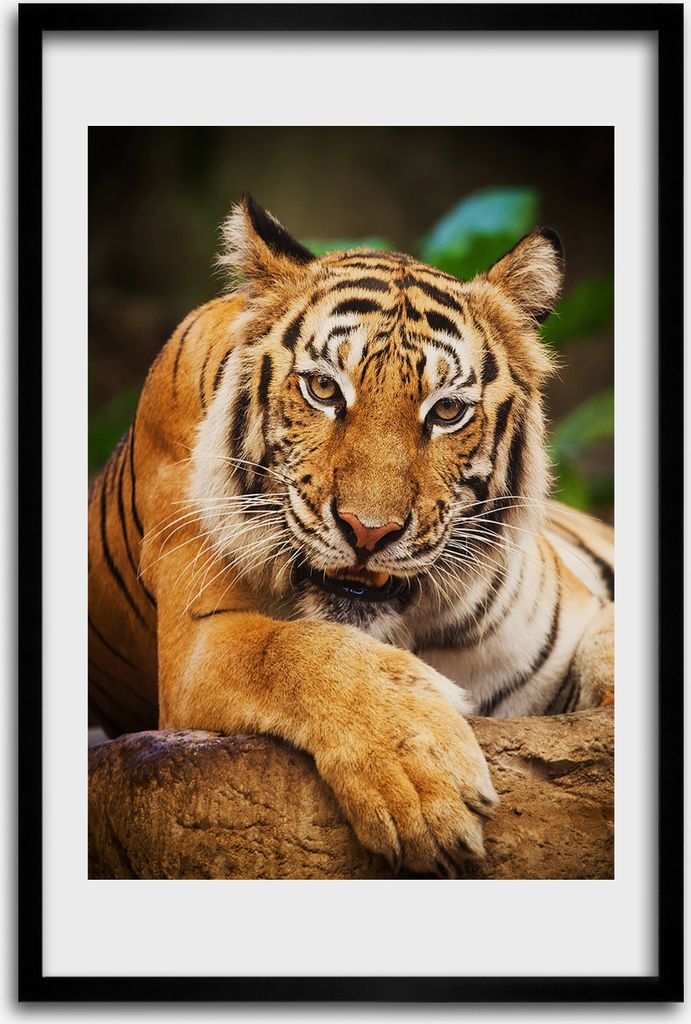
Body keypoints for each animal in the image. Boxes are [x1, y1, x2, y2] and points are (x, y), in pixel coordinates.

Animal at [88, 194, 614, 876]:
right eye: (323, 389)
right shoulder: (195, 645)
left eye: (447, 411)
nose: (369, 531)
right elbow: (296, 648)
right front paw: (423, 782)